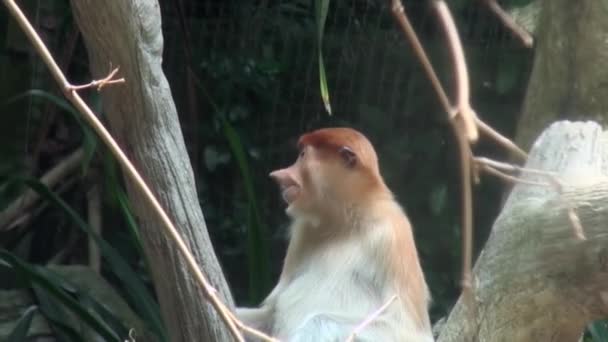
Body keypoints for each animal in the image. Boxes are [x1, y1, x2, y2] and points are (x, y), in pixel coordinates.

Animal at [236, 127, 432, 340]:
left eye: (302, 155)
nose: (279, 175)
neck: (344, 223)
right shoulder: (302, 231)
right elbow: (270, 314)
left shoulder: (393, 233)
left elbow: (408, 330)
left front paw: (313, 327)